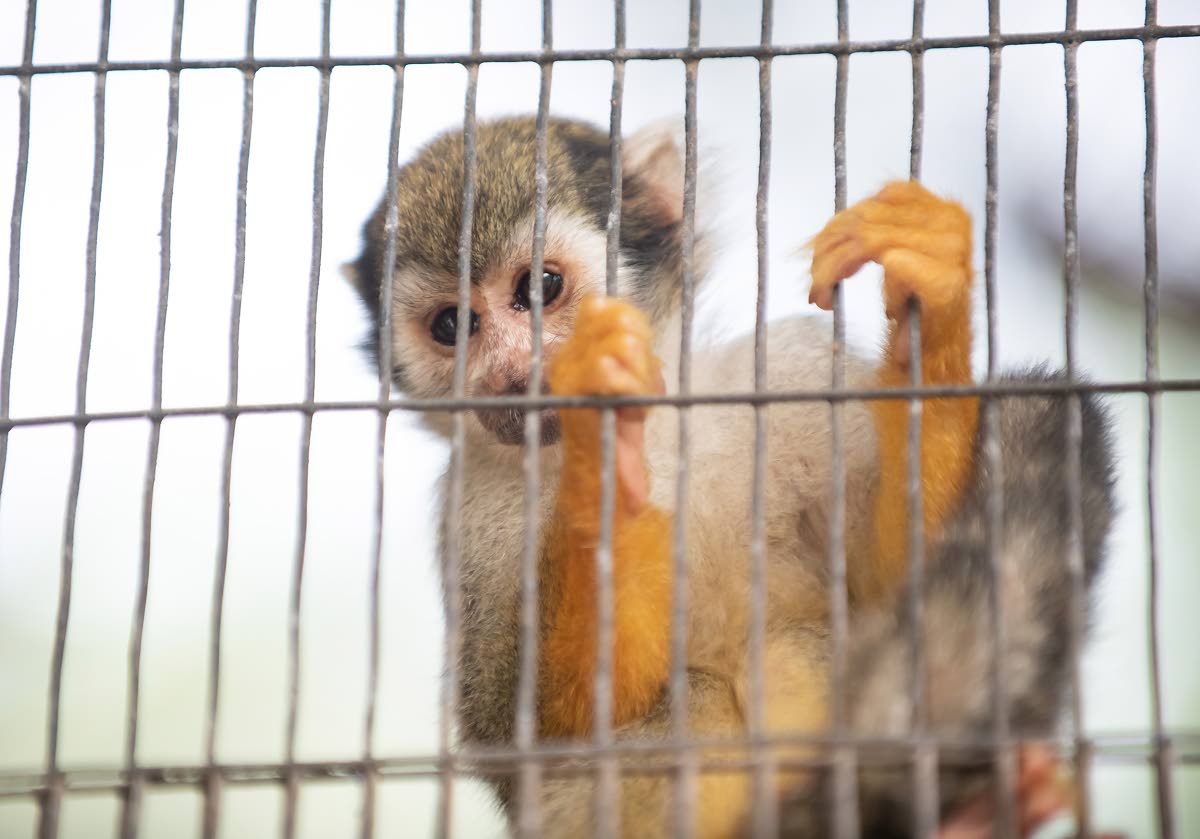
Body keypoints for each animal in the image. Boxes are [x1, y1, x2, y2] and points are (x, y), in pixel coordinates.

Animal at [347, 116, 1115, 837]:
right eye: (452, 325)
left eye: (538, 287)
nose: (509, 374)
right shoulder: (471, 509)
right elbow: (524, 729)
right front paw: (598, 447)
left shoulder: (789, 374)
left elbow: (895, 587)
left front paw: (935, 295)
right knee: (690, 700)